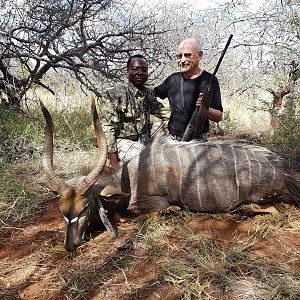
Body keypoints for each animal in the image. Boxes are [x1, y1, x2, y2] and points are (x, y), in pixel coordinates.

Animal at [39, 99, 300, 252]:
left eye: (84, 208)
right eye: (62, 211)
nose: (69, 245)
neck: (127, 178)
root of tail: (284, 174)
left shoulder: (148, 202)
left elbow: (142, 212)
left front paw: (173, 211)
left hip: (262, 198)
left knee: (276, 210)